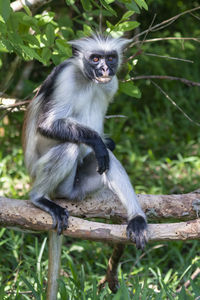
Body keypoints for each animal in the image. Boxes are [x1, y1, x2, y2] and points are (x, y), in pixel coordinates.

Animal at [23, 33, 148, 298]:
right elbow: (48, 125)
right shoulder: (66, 76)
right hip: (50, 179)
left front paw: (105, 141)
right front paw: (97, 141)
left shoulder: (111, 83)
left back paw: (136, 219)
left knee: (107, 160)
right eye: (95, 58)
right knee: (70, 147)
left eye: (110, 58)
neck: (88, 80)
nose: (105, 69)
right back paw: (39, 198)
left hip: (78, 186)